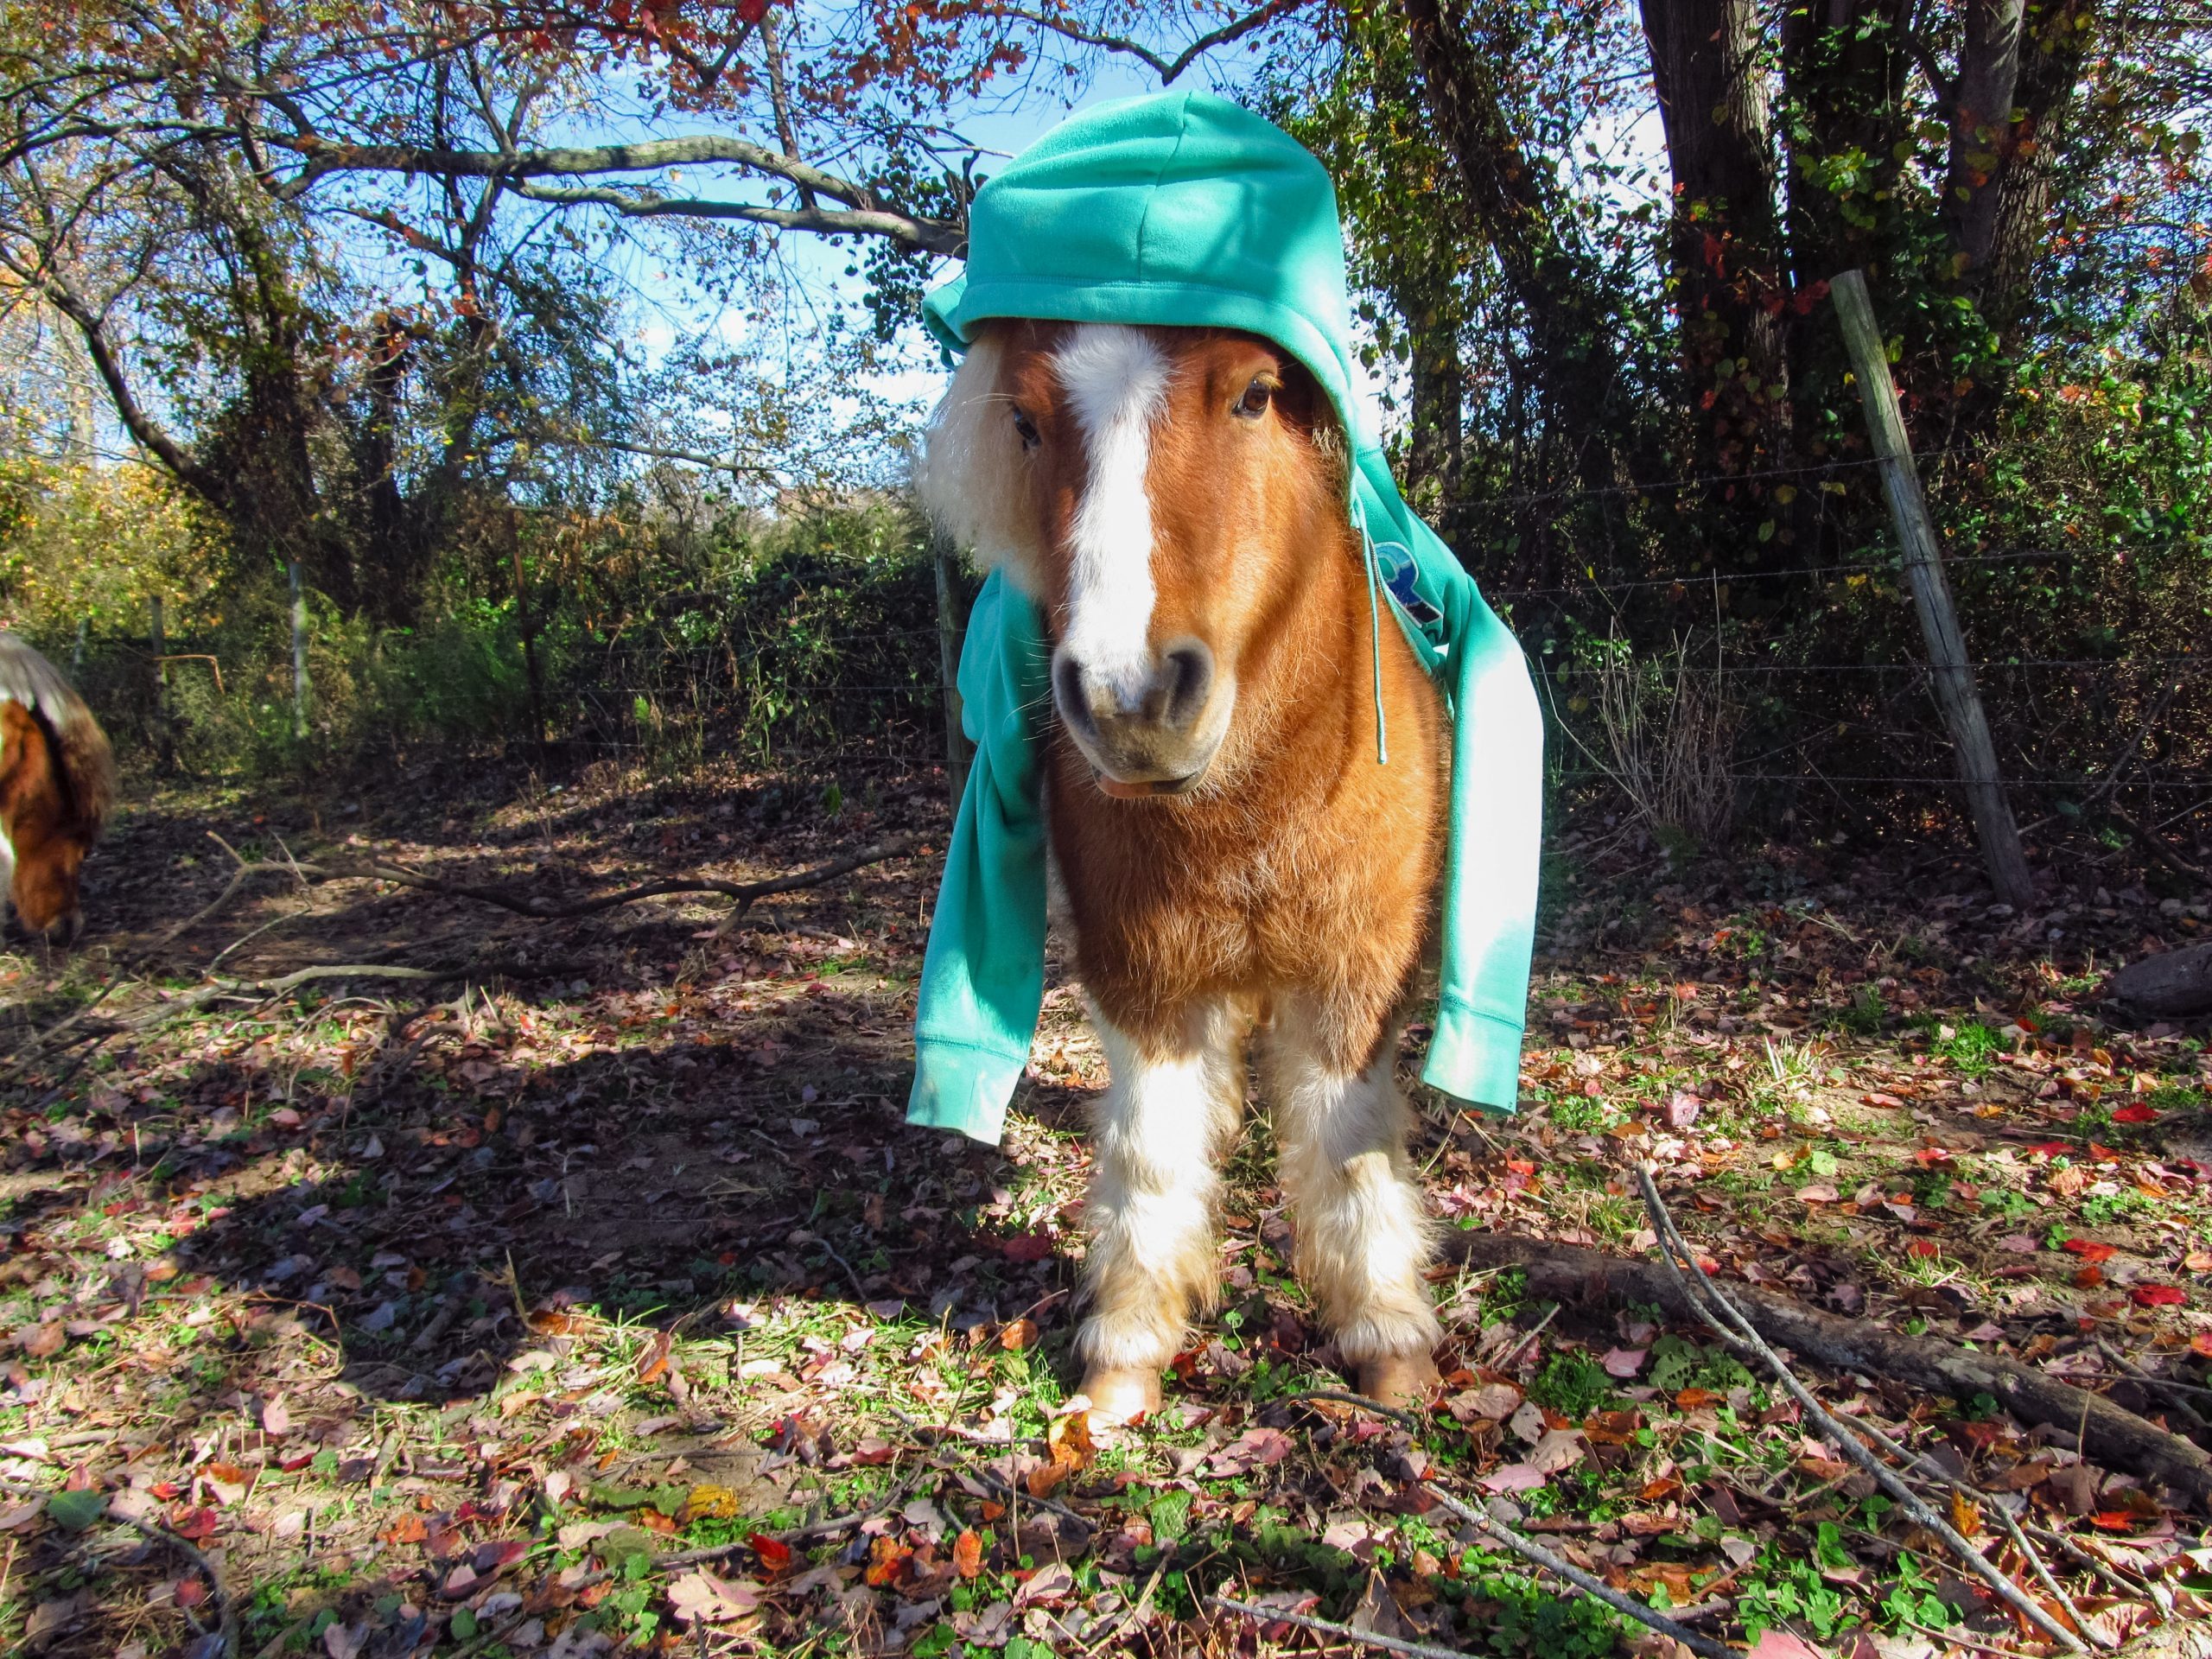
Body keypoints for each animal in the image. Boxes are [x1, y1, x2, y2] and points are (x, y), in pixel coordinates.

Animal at [923, 320, 1450, 1418]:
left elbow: (1349, 1144)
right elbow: (1150, 1148)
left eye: (1254, 395)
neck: (1249, 803)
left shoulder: (1354, 973)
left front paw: (1386, 1333)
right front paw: (1124, 1350)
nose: (1130, 699)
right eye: (1025, 421)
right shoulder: (1143, 977)